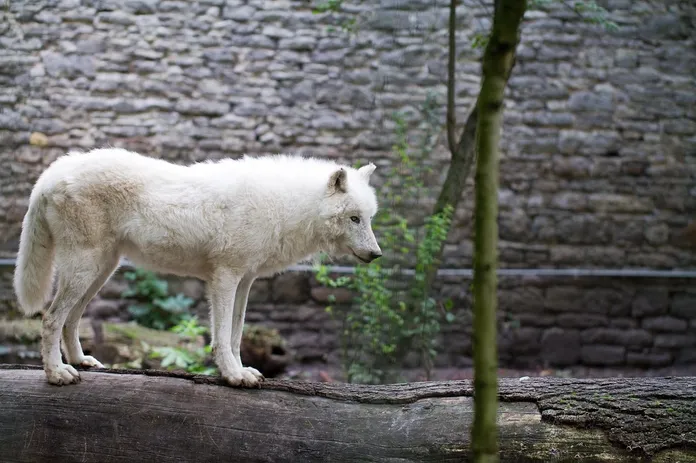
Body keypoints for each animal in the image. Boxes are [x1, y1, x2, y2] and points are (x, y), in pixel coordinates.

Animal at [13, 148, 382, 387]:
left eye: (369, 218)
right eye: (354, 218)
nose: (377, 254)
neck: (285, 206)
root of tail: (50, 174)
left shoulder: (245, 281)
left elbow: (236, 335)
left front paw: (242, 370)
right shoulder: (225, 278)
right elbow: (221, 337)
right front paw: (232, 376)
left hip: (101, 271)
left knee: (71, 319)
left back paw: (80, 361)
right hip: (85, 270)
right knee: (50, 318)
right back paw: (57, 374)